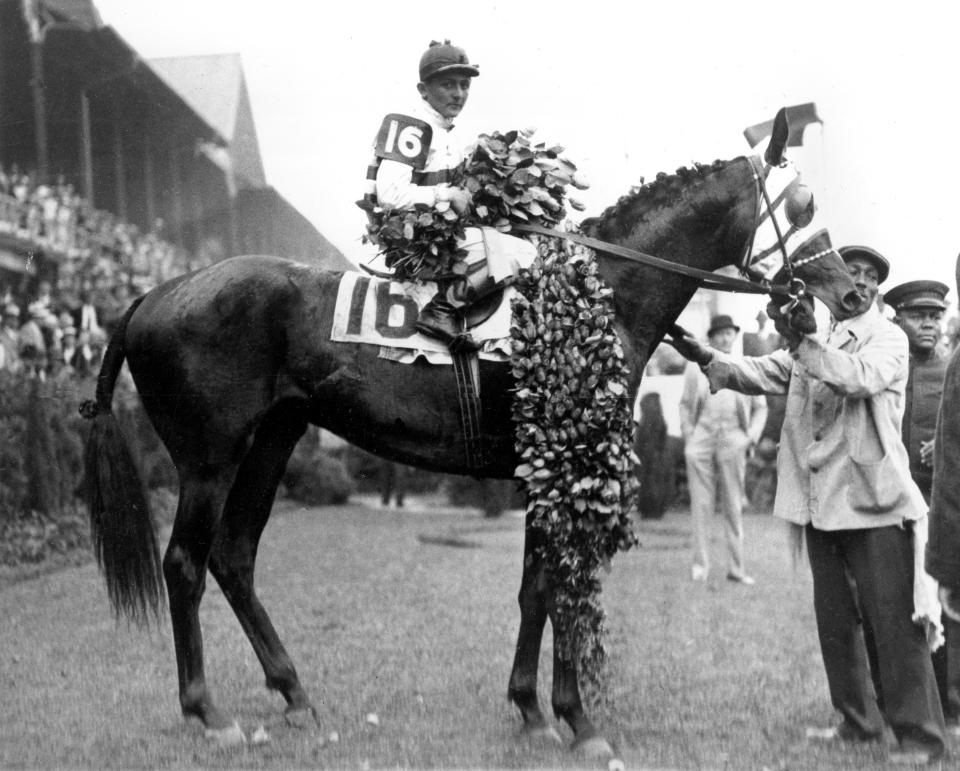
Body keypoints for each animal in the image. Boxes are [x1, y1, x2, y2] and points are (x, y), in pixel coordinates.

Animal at [84, 130, 864, 756]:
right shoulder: (564, 465)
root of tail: (154, 295)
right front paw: (577, 719)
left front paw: (531, 708)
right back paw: (208, 711)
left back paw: (294, 692)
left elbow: (534, 590)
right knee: (185, 563)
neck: (596, 294)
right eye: (801, 206)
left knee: (234, 557)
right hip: (208, 460)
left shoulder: (543, 473)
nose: (853, 290)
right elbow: (560, 589)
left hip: (273, 442)